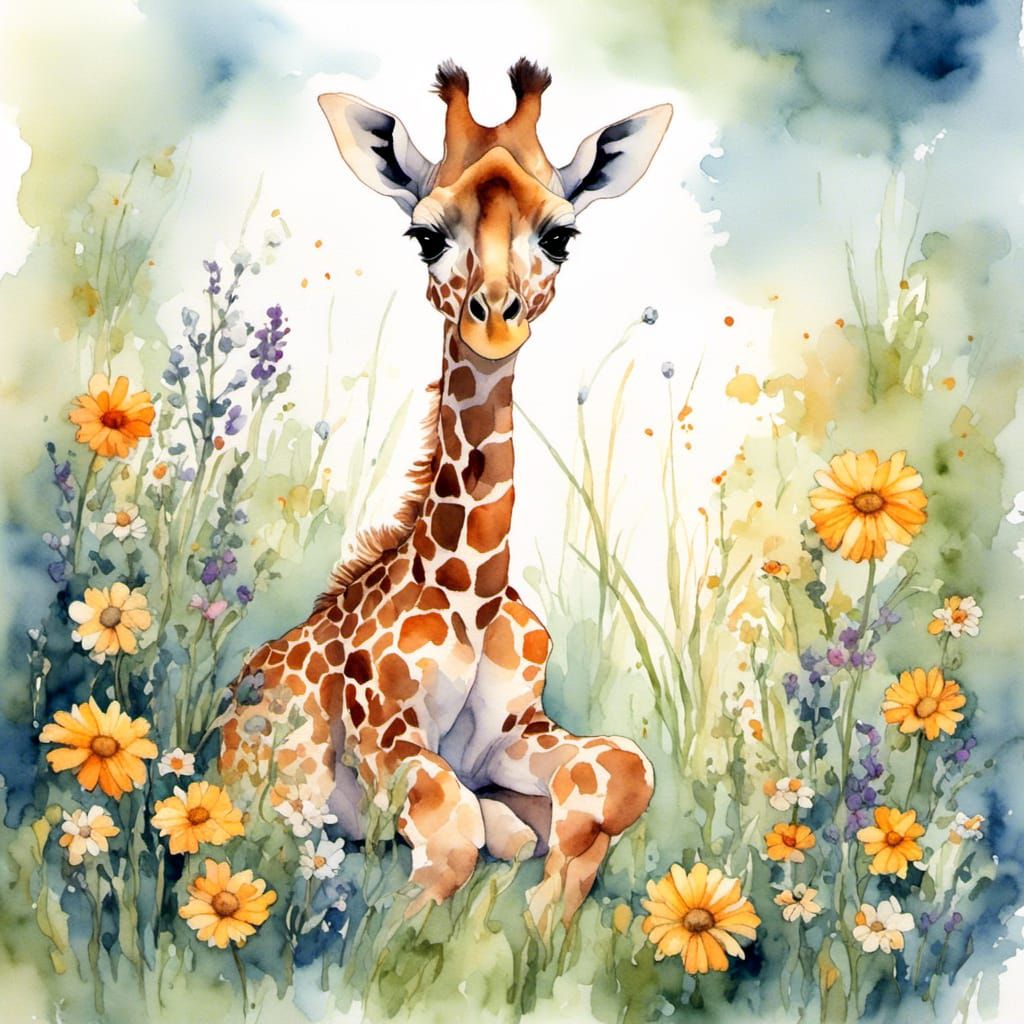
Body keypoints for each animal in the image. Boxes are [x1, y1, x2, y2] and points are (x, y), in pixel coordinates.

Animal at [219, 59, 672, 930]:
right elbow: (451, 827)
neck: (472, 591)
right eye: (426, 236)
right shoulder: (384, 733)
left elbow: (621, 768)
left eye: (560, 235)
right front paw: (400, 938)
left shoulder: (515, 731)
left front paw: (548, 922)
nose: (494, 320)